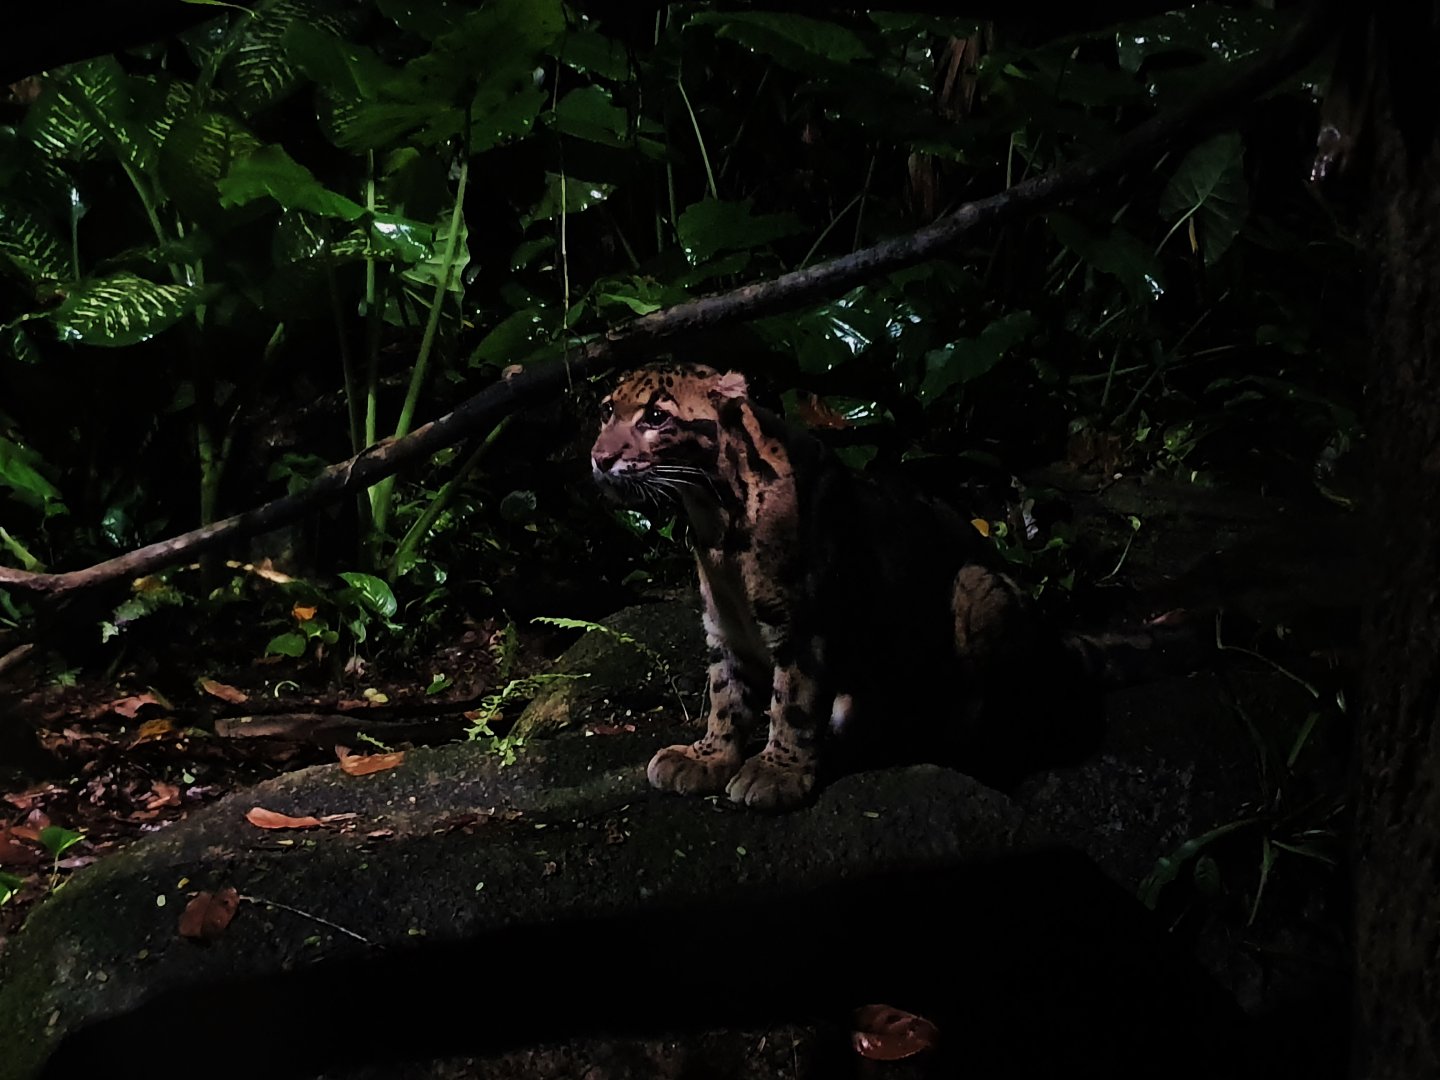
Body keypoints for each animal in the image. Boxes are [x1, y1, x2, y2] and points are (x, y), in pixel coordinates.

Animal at [591, 362, 1195, 811]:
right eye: (607, 411)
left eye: (656, 417)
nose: (599, 457)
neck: (715, 518)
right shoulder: (724, 629)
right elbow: (725, 695)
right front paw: (709, 755)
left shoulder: (802, 626)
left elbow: (792, 703)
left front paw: (778, 772)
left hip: (978, 587)